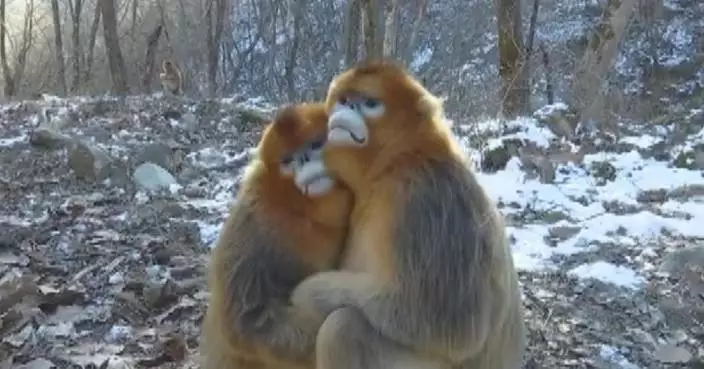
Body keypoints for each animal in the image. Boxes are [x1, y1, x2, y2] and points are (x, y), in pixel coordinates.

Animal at [201, 101, 354, 368]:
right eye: (288, 160)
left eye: (315, 144)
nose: (304, 159)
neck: (300, 210)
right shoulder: (254, 220)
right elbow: (248, 320)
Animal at [288, 60, 524, 368]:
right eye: (344, 100)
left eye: (369, 103)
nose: (344, 111)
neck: (394, 165)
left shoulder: (425, 200)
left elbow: (449, 326)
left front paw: (306, 295)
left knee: (341, 328)